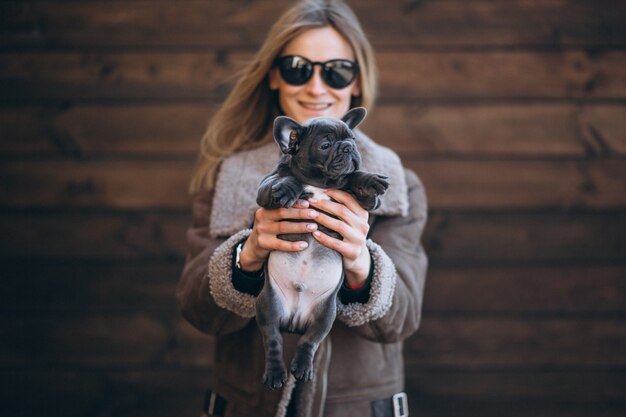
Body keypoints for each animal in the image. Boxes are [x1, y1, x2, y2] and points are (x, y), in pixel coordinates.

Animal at [254, 106, 386, 386]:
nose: (347, 147)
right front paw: (287, 188)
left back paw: (303, 366)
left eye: (353, 139)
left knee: (310, 340)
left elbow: (355, 179)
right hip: (267, 306)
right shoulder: (264, 188)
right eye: (325, 145)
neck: (320, 183)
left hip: (326, 314)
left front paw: (369, 180)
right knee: (273, 339)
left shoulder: (368, 204)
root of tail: (294, 319)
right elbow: (281, 181)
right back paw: (276, 373)